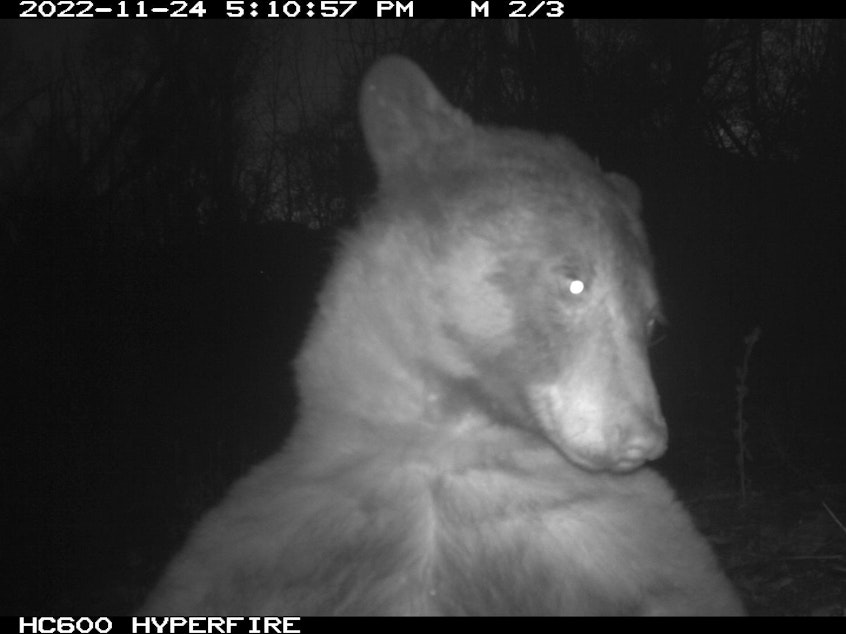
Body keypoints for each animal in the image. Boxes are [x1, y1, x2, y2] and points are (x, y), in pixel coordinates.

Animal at [142, 58, 744, 612]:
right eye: (574, 282)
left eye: (652, 322)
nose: (644, 437)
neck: (449, 438)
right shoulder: (275, 534)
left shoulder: (618, 535)